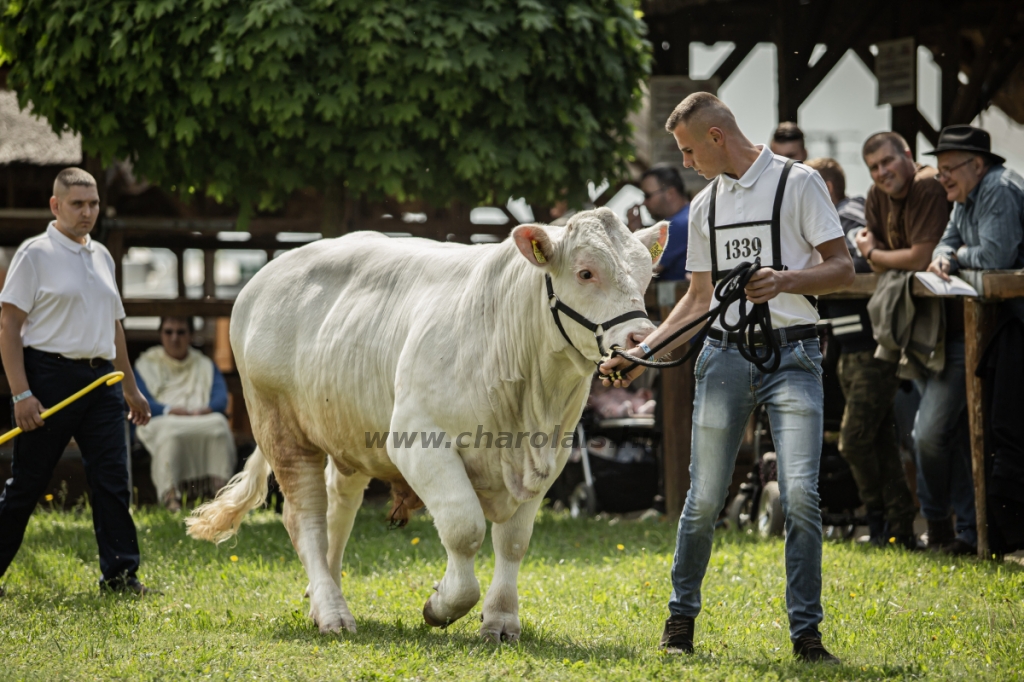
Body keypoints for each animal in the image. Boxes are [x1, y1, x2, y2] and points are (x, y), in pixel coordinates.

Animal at [186, 206, 663, 638]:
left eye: (646, 276)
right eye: (586, 273)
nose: (642, 339)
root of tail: (262, 278)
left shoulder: (549, 455)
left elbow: (513, 540)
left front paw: (501, 620)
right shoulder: (418, 441)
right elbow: (464, 528)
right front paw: (442, 605)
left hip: (347, 432)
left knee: (339, 508)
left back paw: (324, 595)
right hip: (280, 426)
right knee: (306, 519)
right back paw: (333, 613)